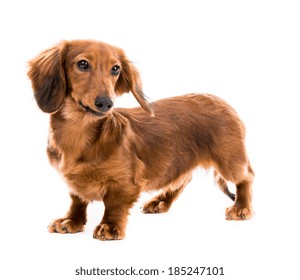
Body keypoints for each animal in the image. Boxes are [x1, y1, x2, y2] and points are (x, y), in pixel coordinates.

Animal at [27, 40, 253, 241]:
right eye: (82, 64)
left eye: (115, 69)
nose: (106, 103)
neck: (79, 132)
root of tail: (224, 103)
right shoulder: (73, 181)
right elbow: (77, 200)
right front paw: (71, 221)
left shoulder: (125, 181)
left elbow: (114, 204)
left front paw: (110, 226)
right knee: (183, 179)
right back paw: (161, 201)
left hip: (229, 160)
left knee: (246, 178)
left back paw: (241, 207)